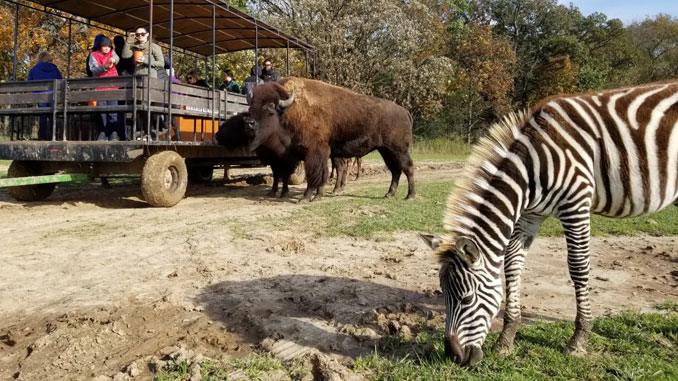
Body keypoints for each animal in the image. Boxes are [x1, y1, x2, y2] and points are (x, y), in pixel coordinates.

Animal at [248, 77, 414, 202]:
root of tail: (405, 112)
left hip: (398, 150)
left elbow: (314, 175)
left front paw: (306, 198)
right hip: (386, 151)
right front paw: (318, 196)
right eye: (252, 104)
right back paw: (389, 194)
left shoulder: (314, 152)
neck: (290, 110)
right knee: (396, 170)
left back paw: (410, 196)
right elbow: (322, 174)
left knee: (407, 167)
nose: (250, 122)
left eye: (270, 106)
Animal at [438, 81, 678, 366]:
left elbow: (578, 267)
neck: (532, 166)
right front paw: (507, 338)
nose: (453, 356)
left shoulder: (576, 202)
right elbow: (512, 264)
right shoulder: (530, 214)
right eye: (443, 296)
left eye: (466, 299)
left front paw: (578, 339)